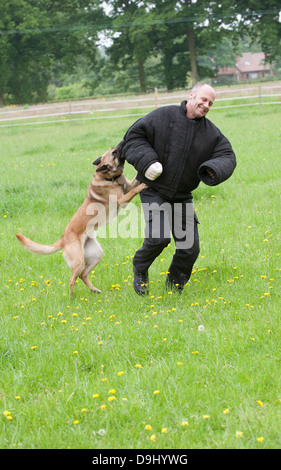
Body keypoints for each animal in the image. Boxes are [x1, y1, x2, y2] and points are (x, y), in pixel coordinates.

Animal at [16, 140, 145, 294]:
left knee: (83, 275)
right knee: (72, 279)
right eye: (114, 152)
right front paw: (144, 184)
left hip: (96, 255)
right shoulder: (122, 200)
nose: (122, 141)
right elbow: (135, 190)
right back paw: (72, 297)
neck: (109, 177)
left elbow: (135, 181)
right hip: (78, 260)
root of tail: (63, 240)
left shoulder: (128, 187)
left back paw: (94, 290)